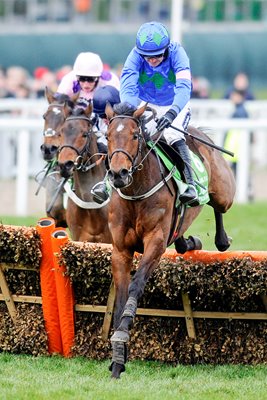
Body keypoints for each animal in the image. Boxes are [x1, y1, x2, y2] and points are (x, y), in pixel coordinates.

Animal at [104, 102, 237, 378]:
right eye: (108, 136)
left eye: (135, 135)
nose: (119, 174)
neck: (137, 193)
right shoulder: (120, 249)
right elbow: (120, 295)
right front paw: (118, 357)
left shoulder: (154, 243)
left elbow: (135, 285)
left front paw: (122, 336)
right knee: (181, 236)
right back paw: (188, 242)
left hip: (223, 193)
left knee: (219, 207)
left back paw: (221, 239)